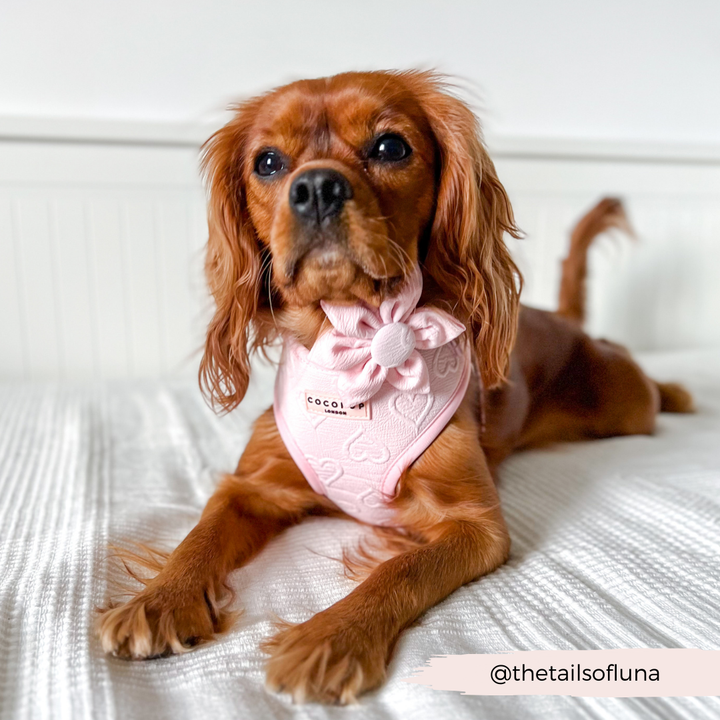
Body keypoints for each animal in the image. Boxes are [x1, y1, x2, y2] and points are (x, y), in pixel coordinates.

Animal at [98, 71, 696, 704]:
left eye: (390, 147)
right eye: (268, 162)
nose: (316, 187)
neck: (360, 340)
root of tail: (564, 322)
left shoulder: (477, 525)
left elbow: (398, 571)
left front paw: (331, 639)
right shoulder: (253, 485)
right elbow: (200, 535)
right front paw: (160, 599)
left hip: (624, 405)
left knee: (638, 376)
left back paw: (678, 391)